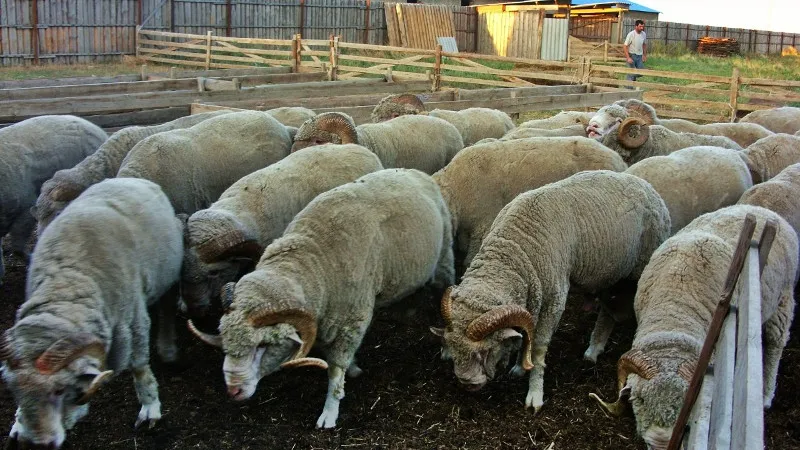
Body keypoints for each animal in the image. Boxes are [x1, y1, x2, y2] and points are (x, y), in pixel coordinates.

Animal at [0, 177, 184, 449]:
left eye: (59, 390)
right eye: (14, 391)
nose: (36, 444)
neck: (68, 284)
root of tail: (130, 179)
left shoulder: (134, 322)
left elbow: (139, 367)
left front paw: (150, 407)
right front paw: (18, 422)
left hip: (167, 274)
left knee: (167, 306)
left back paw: (168, 347)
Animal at [188, 168, 454, 429]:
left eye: (262, 345)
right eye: (225, 339)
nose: (233, 391)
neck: (314, 259)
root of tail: (412, 172)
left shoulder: (352, 320)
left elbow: (335, 370)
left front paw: (330, 411)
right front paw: (353, 367)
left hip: (444, 256)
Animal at [432, 170, 670, 413]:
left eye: (485, 350)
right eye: (451, 346)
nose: (466, 383)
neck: (516, 247)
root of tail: (644, 184)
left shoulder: (553, 301)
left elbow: (537, 348)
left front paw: (535, 394)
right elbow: (526, 334)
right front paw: (520, 367)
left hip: (635, 270)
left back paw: (594, 349)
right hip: (610, 270)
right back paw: (595, 347)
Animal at [590, 204, 798, 450]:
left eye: (686, 407)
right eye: (639, 399)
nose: (661, 442)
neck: (674, 316)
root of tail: (762, 210)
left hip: (783, 299)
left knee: (775, 344)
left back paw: (765, 395)